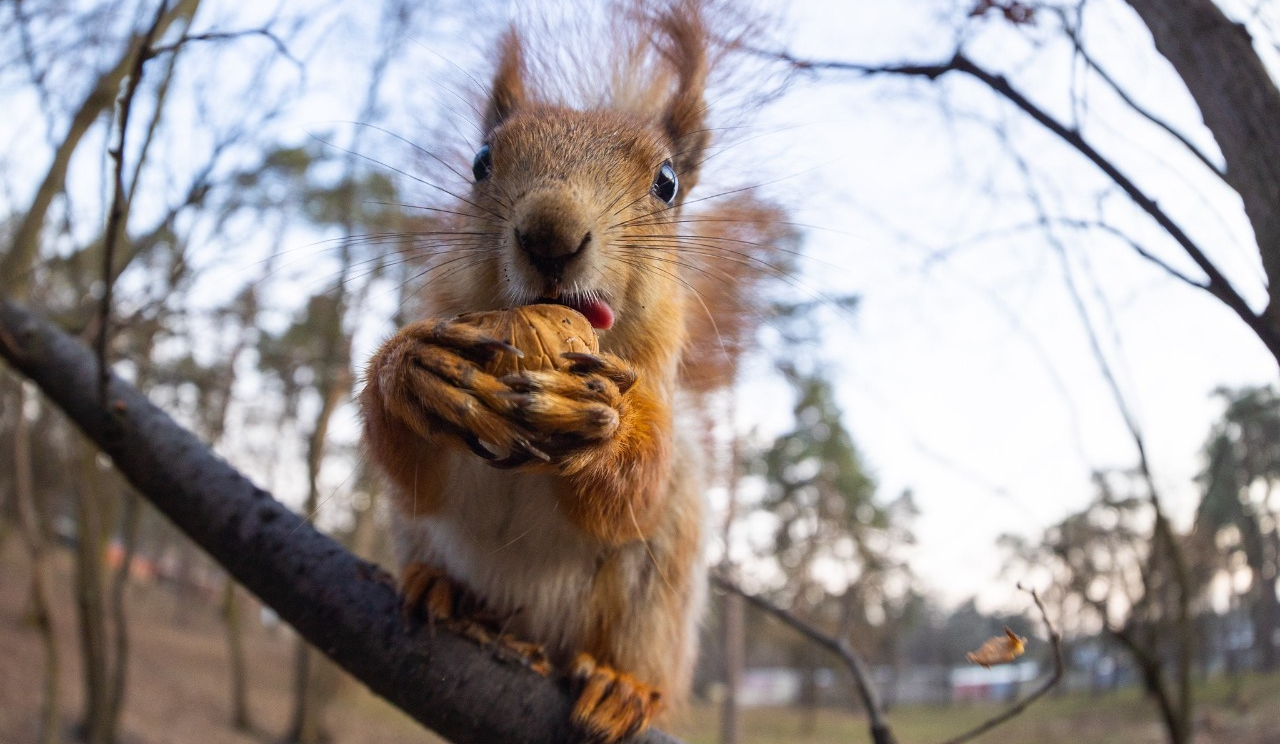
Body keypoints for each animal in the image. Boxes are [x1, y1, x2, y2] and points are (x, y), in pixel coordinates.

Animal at [358, 2, 768, 737]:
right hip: (420, 541)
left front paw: (602, 424)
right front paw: (412, 372)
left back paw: (621, 687)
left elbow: (632, 490)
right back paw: (442, 588)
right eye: (481, 162)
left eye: (667, 183)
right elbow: (415, 479)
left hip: (657, 590)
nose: (550, 234)